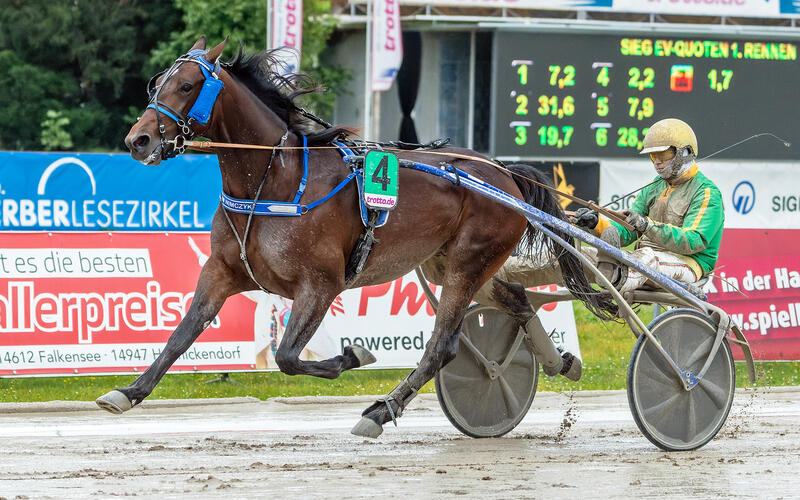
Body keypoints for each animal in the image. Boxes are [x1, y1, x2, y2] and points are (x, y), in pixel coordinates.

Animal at [100, 38, 612, 438]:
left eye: (187, 86)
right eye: (156, 85)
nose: (138, 141)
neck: (275, 182)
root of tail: (504, 172)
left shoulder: (320, 283)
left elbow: (288, 356)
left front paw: (352, 355)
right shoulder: (222, 272)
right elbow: (181, 334)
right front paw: (128, 391)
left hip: (470, 261)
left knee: (443, 346)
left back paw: (382, 410)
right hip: (449, 264)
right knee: (518, 298)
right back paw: (559, 363)